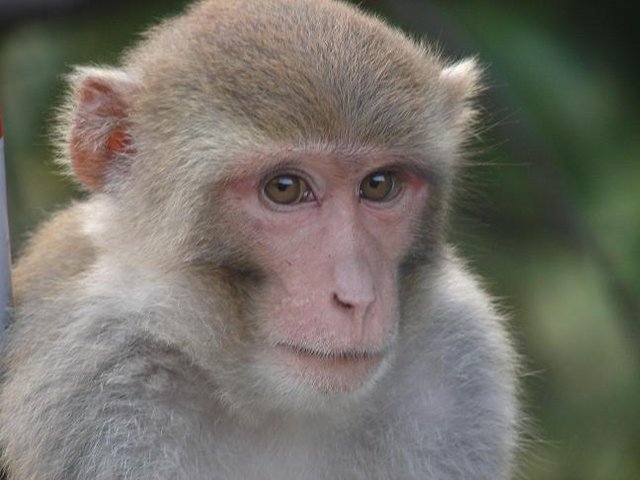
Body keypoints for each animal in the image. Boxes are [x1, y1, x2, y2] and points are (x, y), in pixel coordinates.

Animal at [0, 0, 518, 478]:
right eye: (284, 188)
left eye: (379, 185)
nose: (357, 296)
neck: (277, 406)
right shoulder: (95, 383)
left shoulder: (460, 365)